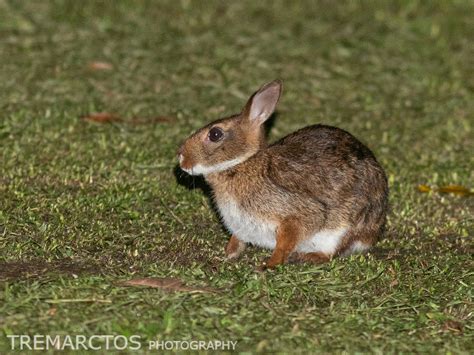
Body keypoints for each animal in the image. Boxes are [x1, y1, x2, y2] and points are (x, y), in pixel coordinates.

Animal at [178, 80, 388, 270]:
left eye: (215, 134)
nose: (181, 157)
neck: (244, 162)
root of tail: (374, 232)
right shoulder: (240, 226)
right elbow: (237, 240)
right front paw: (227, 255)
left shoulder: (296, 215)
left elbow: (286, 242)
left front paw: (269, 265)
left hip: (343, 229)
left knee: (331, 253)